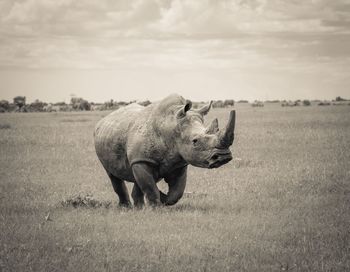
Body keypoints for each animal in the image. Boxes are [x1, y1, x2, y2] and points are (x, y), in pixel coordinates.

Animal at [93, 93, 235, 206]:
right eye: (195, 141)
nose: (224, 157)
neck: (171, 125)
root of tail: (104, 119)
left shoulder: (180, 163)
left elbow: (177, 192)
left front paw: (163, 198)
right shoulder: (142, 159)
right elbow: (150, 188)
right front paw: (156, 208)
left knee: (136, 177)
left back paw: (139, 208)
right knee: (113, 175)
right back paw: (125, 208)